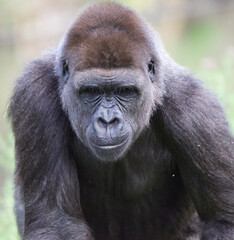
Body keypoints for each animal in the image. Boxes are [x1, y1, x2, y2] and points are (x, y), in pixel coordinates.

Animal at [9, 2, 234, 240]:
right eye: (91, 91)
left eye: (124, 91)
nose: (108, 121)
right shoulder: (34, 93)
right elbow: (55, 224)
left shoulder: (197, 112)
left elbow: (223, 222)